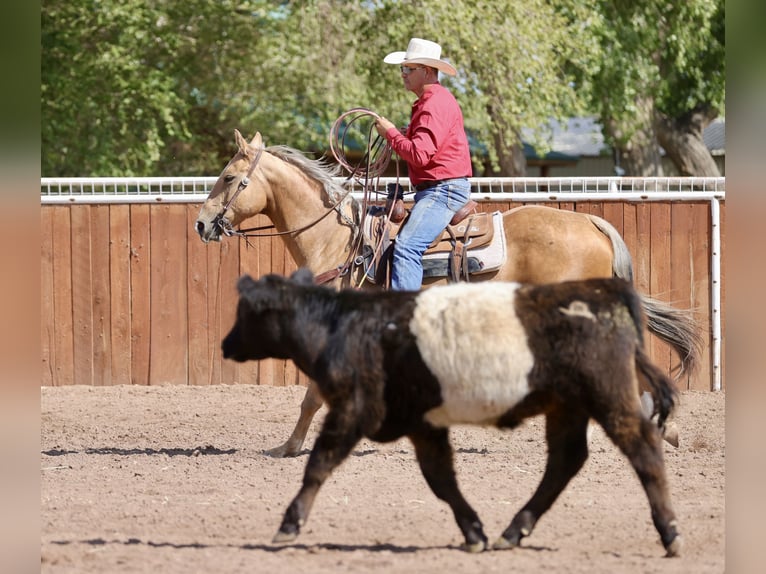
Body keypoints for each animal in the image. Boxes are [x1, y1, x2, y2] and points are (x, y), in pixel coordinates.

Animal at [195, 129, 701, 457]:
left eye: (228, 177)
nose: (201, 224)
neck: (340, 241)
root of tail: (592, 221)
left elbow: (314, 394)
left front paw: (289, 446)